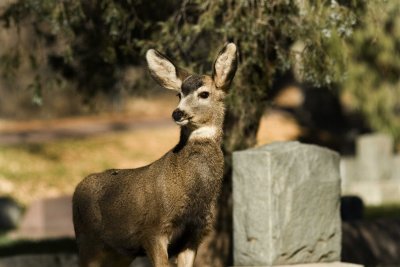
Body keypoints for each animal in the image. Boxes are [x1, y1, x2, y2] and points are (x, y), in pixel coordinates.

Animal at [72, 43, 238, 266]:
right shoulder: (153, 229)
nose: (177, 113)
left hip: (119, 253)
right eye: (179, 95)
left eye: (204, 94)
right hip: (87, 241)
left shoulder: (195, 234)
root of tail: (77, 188)